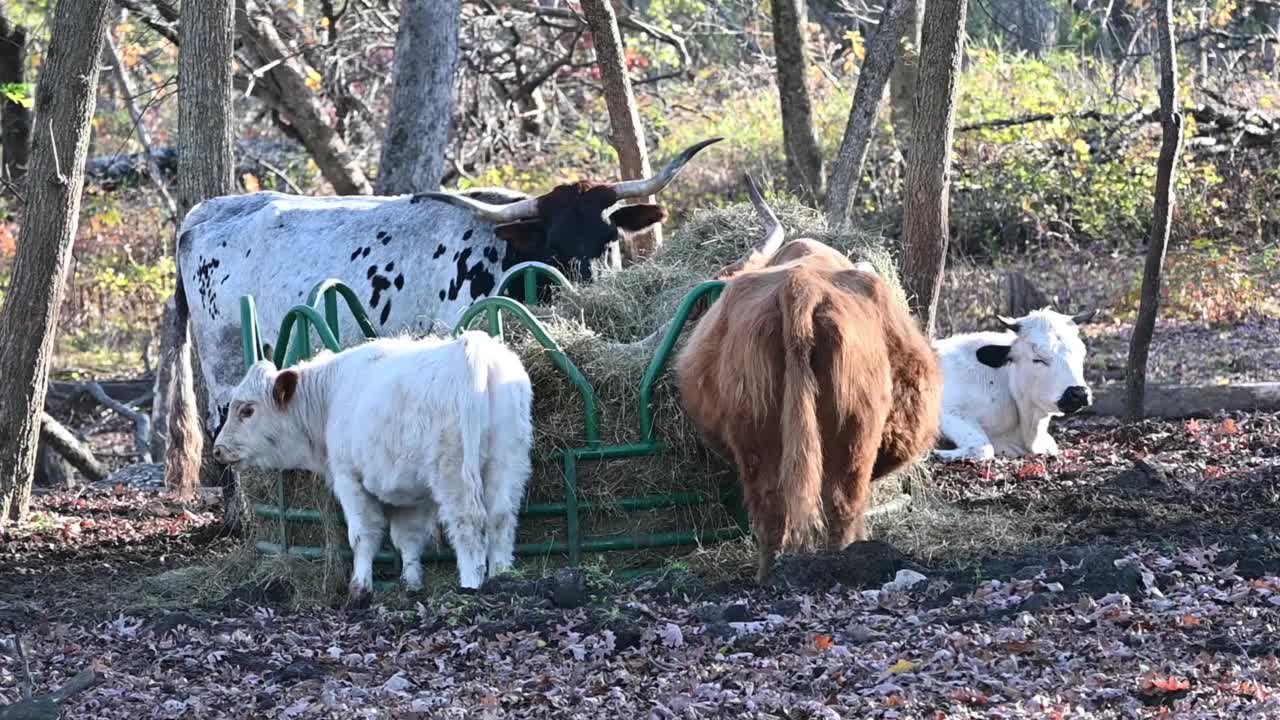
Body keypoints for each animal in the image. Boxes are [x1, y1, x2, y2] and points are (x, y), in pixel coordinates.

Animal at [162, 137, 721, 489]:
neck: (507, 255)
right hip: (225, 369)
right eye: (555, 244)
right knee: (225, 434)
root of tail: (204, 213)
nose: (589, 287)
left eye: (609, 238)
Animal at [212, 333, 532, 599]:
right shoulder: (411, 494)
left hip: (455, 474)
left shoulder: (348, 477)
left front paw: (360, 588)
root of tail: (474, 348)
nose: (218, 449)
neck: (332, 397)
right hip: (508, 463)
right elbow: (408, 537)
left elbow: (363, 535)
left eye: (247, 410)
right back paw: (503, 578)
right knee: (501, 519)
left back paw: (470, 585)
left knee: (469, 524)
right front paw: (411, 584)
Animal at [931, 307, 1100, 461]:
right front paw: (938, 453)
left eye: (1081, 353)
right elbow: (983, 448)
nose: (1079, 393)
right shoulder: (948, 410)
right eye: (1037, 359)